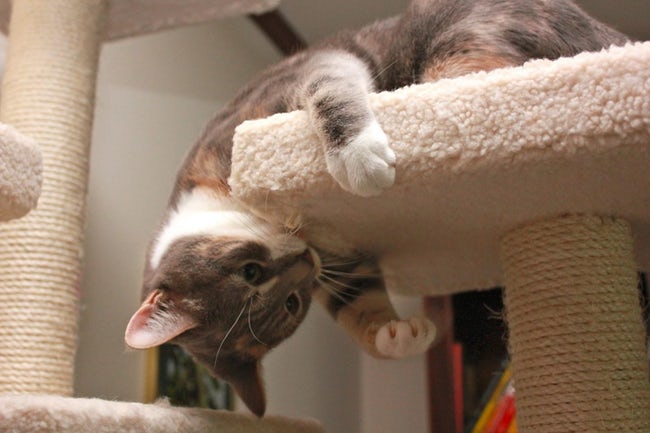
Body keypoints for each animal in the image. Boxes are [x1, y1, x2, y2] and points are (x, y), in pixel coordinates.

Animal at [124, 0, 624, 416]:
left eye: (249, 270)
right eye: (293, 303)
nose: (305, 260)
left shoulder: (290, 85)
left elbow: (329, 89)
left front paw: (359, 158)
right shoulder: (344, 269)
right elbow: (360, 307)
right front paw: (396, 335)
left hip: (457, 40)